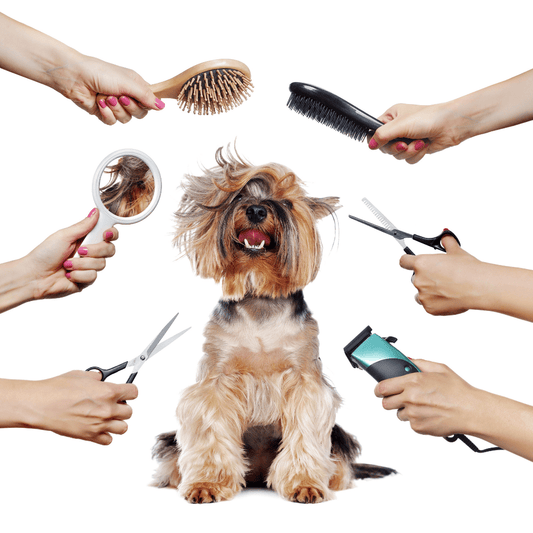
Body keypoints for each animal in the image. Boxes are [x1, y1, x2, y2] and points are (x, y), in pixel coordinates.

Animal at [152, 148, 392, 500]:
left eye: (287, 202)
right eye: (239, 195)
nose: (255, 209)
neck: (261, 295)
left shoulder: (304, 380)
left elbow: (305, 431)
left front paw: (305, 484)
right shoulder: (217, 381)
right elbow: (211, 431)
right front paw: (207, 484)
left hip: (337, 438)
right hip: (173, 443)